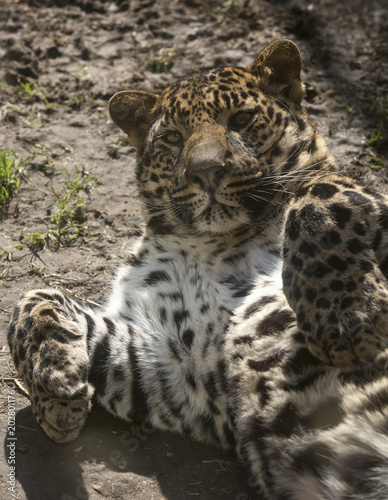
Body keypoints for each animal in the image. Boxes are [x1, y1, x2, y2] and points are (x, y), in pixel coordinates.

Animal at [6, 40, 388, 500]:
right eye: (172, 137)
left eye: (241, 119)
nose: (206, 170)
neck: (212, 243)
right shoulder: (169, 364)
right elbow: (31, 298)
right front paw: (56, 393)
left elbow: (321, 193)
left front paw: (345, 320)